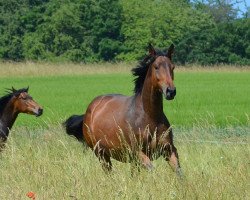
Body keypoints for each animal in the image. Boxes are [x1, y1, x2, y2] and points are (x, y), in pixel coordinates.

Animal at [64, 44, 182, 175]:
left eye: (172, 67)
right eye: (156, 67)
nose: (170, 91)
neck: (150, 117)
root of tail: (88, 111)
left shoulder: (169, 150)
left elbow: (179, 173)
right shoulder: (138, 152)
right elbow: (152, 170)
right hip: (101, 154)